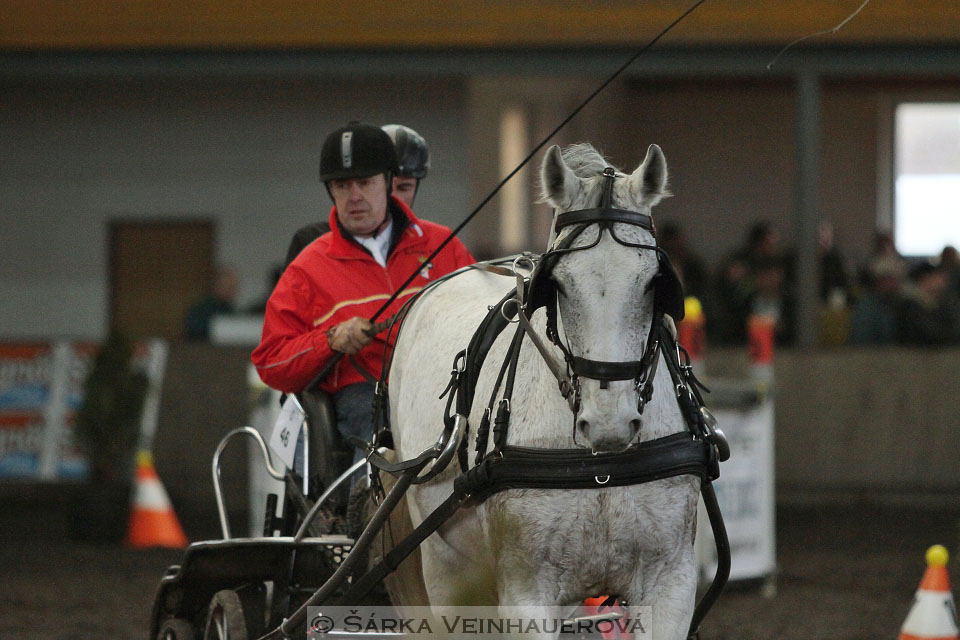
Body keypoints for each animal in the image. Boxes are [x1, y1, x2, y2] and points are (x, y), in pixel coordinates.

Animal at [386, 142, 700, 636]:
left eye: (655, 281)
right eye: (557, 284)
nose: (608, 425)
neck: (598, 465)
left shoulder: (671, 583)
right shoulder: (526, 595)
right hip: (447, 575)